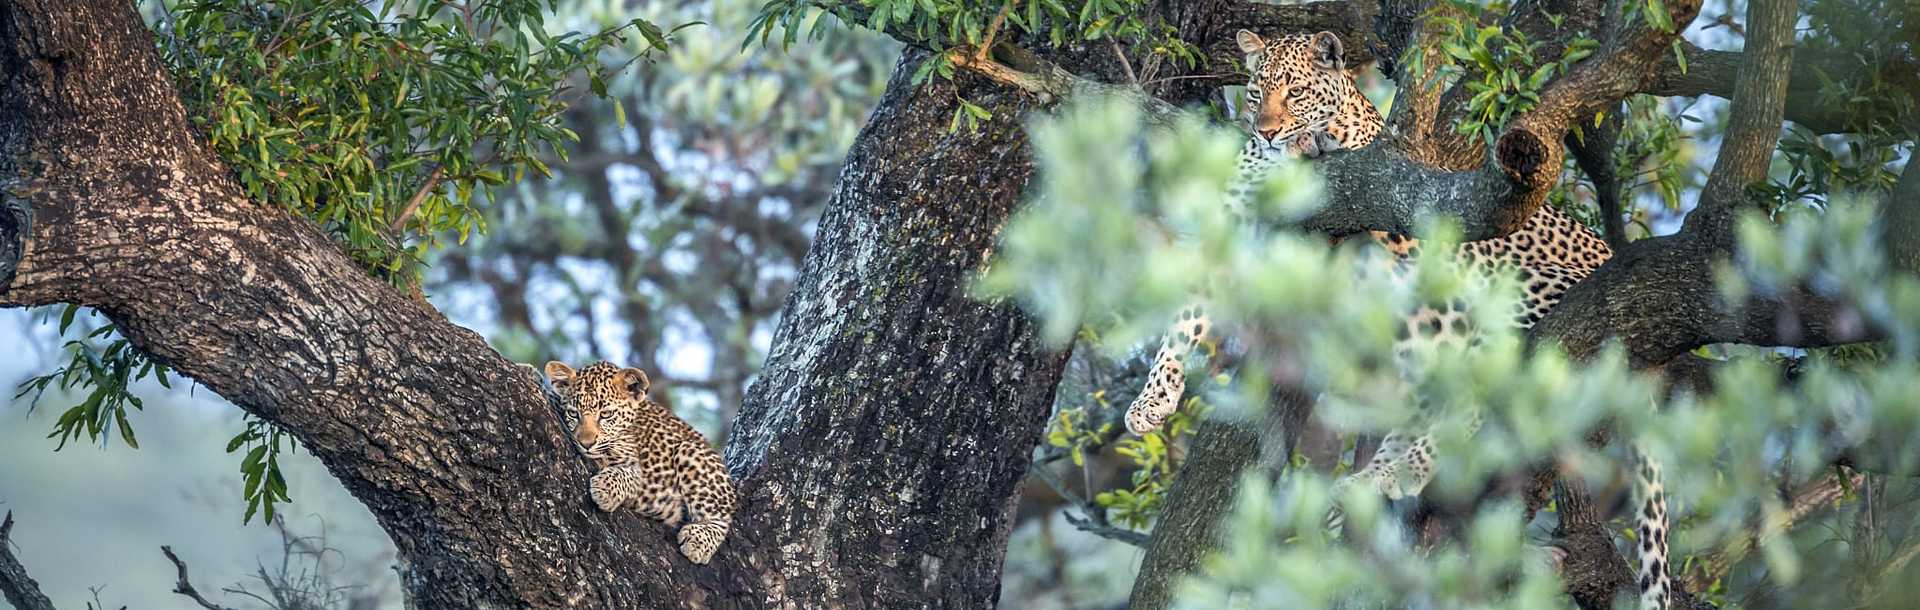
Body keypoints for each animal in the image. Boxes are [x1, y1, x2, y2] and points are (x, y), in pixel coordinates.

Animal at [549, 360, 741, 563]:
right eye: (573, 414)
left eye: (606, 414)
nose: (586, 443)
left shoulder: (644, 472)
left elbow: (628, 473)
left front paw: (605, 488)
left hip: (690, 452)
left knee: (723, 514)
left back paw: (698, 541)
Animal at [1121, 29, 1674, 610]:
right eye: (1254, 94)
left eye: (1295, 92)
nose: (1267, 132)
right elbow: (1184, 315)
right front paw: (1152, 400)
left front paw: (1308, 142)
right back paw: (1375, 478)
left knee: (1480, 386)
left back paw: (1400, 471)